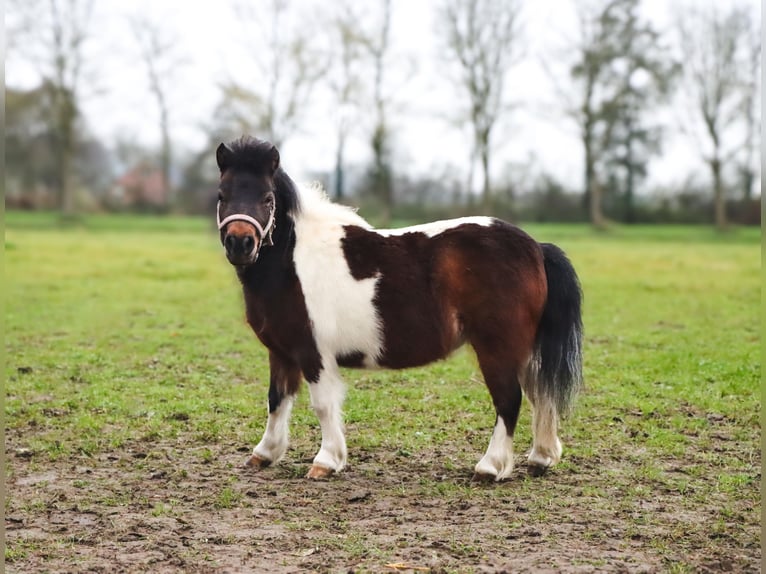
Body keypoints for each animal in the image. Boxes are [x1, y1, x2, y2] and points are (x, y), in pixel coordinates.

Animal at [213, 137, 584, 484]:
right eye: (221, 195)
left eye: (267, 199)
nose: (240, 243)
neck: (292, 261)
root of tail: (536, 247)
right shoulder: (282, 352)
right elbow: (276, 399)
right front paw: (265, 453)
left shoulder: (313, 353)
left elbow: (322, 405)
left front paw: (326, 461)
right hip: (524, 350)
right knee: (541, 394)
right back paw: (541, 458)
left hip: (497, 348)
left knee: (509, 400)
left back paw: (490, 467)